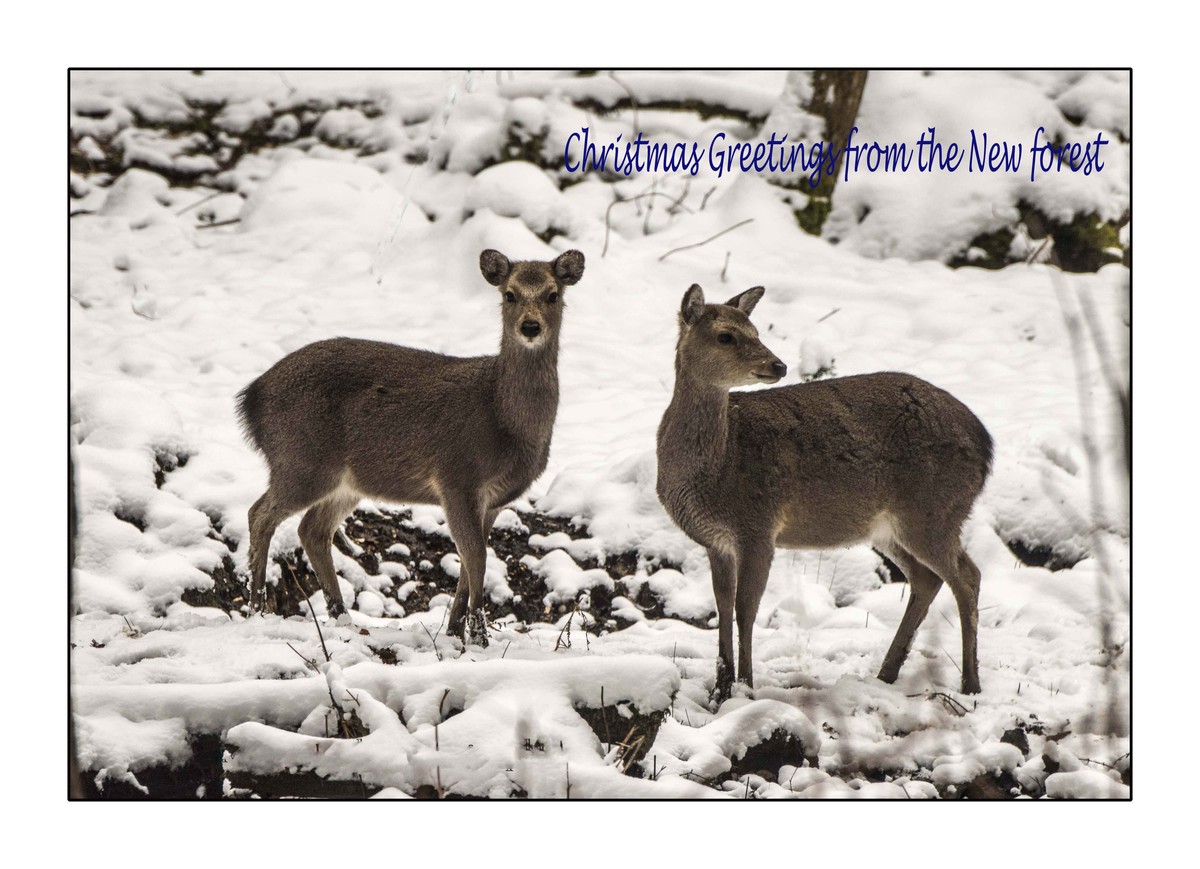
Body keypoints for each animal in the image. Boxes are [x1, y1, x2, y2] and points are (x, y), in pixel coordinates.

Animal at [235, 247, 585, 643]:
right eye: (509, 294)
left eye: (553, 294)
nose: (530, 327)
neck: (503, 420)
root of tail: (251, 398)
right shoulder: (456, 478)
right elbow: (477, 558)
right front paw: (478, 635)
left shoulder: (494, 499)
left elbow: (472, 562)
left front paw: (455, 629)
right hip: (301, 460)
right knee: (259, 514)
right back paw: (257, 607)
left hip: (345, 481)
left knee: (311, 529)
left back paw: (341, 616)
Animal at [657, 285, 993, 700]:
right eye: (725, 335)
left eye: (755, 330)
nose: (779, 365)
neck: (718, 465)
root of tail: (986, 444)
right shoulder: (716, 540)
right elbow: (722, 606)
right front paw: (720, 688)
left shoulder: (758, 526)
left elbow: (746, 608)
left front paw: (745, 688)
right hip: (890, 527)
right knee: (926, 578)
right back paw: (887, 673)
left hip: (935, 510)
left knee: (968, 576)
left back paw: (970, 683)